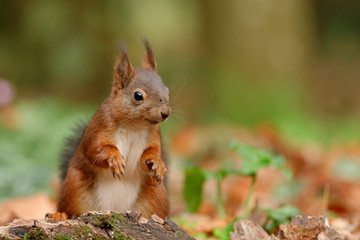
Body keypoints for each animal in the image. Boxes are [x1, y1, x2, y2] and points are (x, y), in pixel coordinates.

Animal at [46, 40, 170, 221]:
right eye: (138, 96)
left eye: (167, 91)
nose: (166, 113)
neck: (134, 126)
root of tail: (115, 209)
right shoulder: (100, 127)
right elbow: (94, 150)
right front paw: (115, 159)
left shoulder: (154, 135)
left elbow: (149, 156)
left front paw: (158, 164)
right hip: (74, 186)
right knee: (69, 208)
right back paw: (59, 215)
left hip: (156, 193)